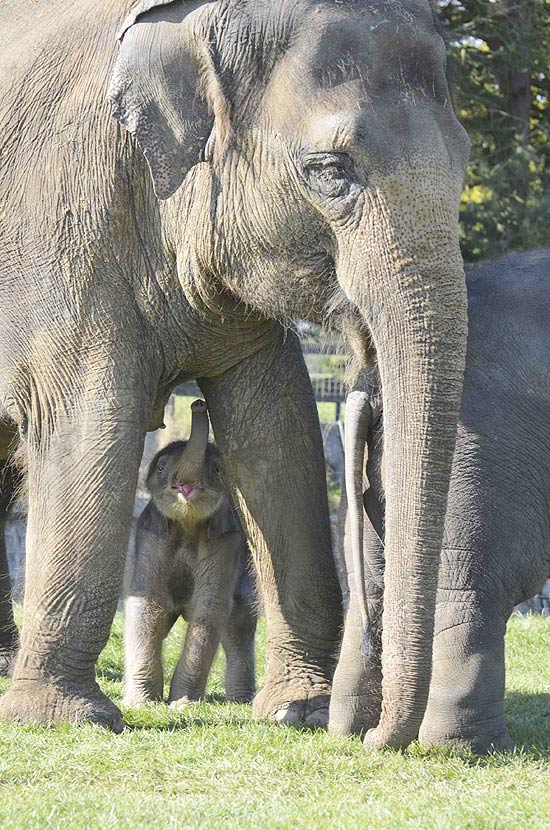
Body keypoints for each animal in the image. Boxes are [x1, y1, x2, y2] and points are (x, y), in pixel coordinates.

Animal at [124, 402, 258, 708]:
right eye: (161, 467)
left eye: (218, 469)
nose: (198, 403)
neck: (187, 524)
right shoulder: (151, 534)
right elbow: (148, 606)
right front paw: (140, 703)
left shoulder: (224, 540)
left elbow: (208, 607)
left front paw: (182, 705)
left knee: (239, 621)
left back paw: (240, 702)